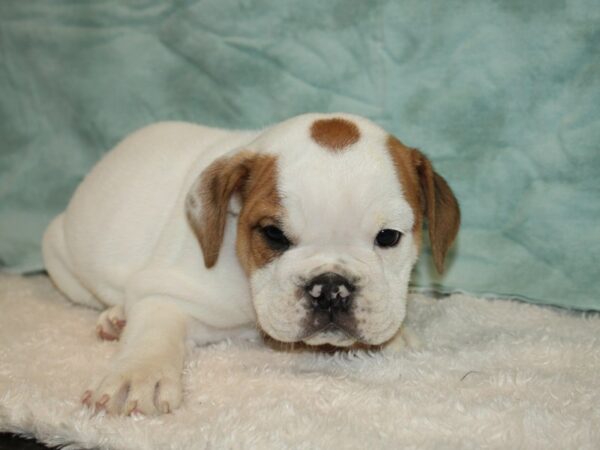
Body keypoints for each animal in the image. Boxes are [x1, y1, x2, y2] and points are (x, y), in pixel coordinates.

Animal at [43, 111, 460, 414]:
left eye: (388, 237)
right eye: (273, 234)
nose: (330, 288)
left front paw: (394, 336)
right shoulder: (165, 291)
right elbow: (153, 331)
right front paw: (139, 374)